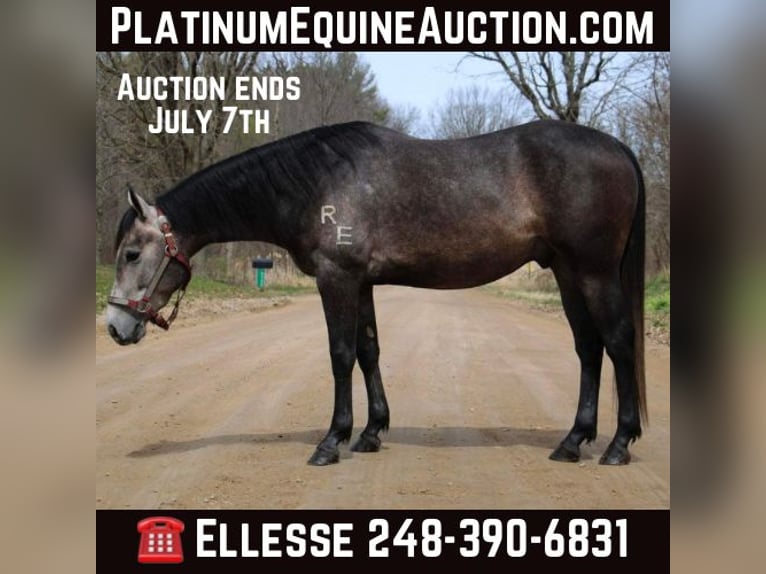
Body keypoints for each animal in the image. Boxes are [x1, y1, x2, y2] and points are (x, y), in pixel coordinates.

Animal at [106, 120, 646, 466]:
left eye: (131, 254)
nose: (114, 326)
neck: (316, 182)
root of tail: (619, 147)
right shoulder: (361, 283)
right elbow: (369, 351)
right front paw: (369, 434)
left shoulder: (337, 279)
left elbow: (341, 355)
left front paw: (331, 441)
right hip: (567, 272)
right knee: (589, 348)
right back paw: (573, 442)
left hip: (594, 272)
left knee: (618, 343)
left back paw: (619, 445)